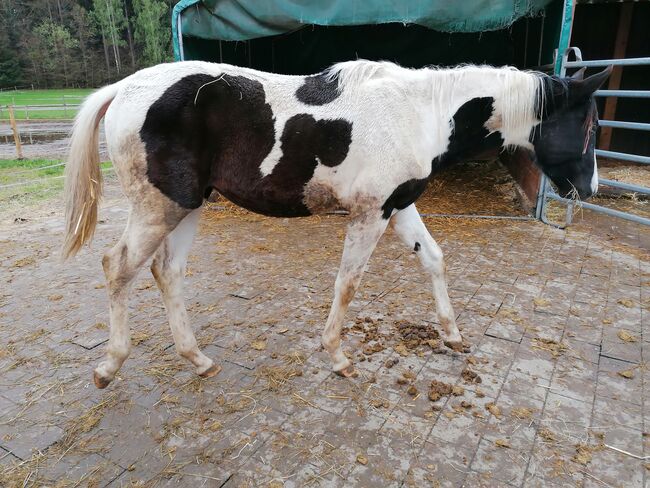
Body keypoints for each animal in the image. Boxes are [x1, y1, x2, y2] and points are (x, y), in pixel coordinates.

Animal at [60, 60, 608, 388]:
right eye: (587, 125)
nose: (590, 189)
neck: (421, 113)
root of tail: (122, 88)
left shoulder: (399, 206)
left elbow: (432, 258)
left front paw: (452, 335)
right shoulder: (371, 213)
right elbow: (348, 282)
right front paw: (338, 356)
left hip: (187, 207)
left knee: (165, 272)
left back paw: (197, 359)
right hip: (160, 208)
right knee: (118, 267)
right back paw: (109, 366)